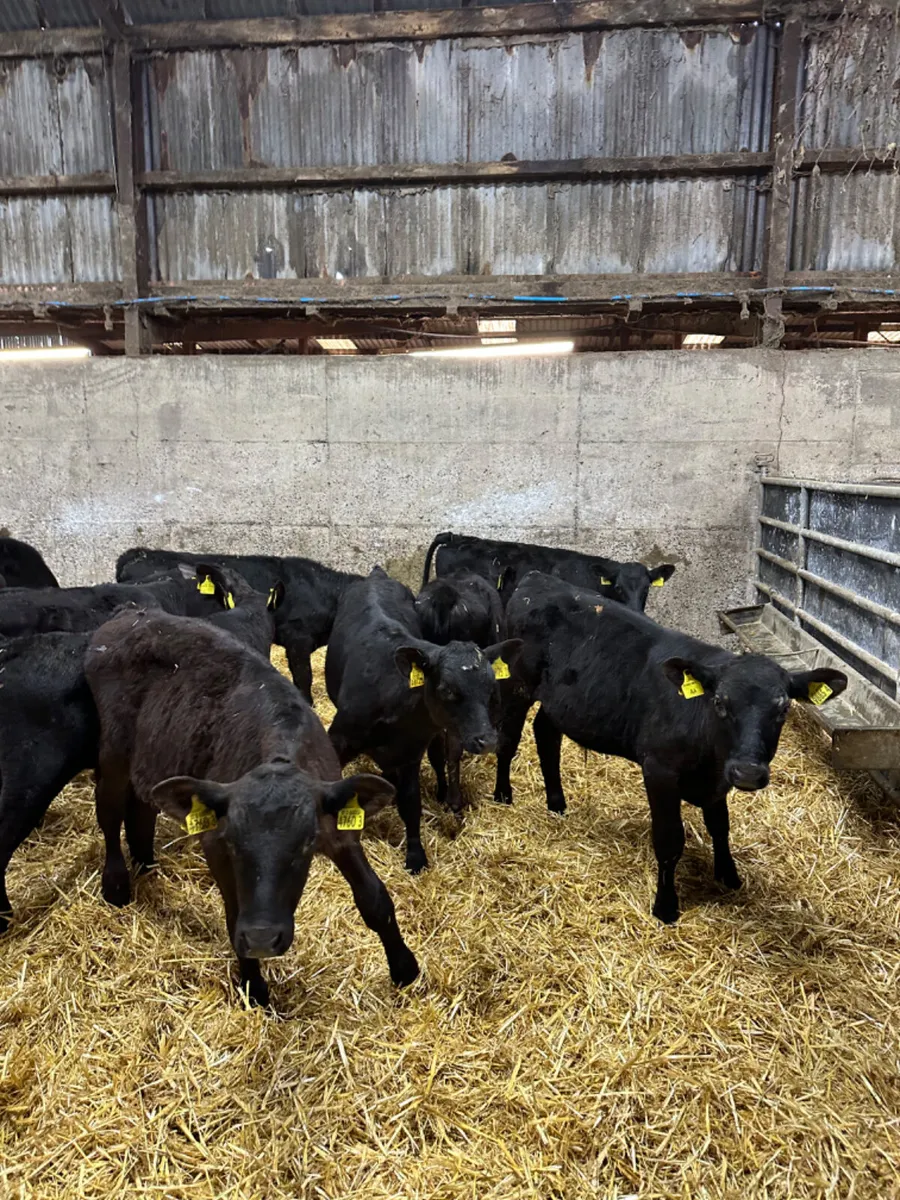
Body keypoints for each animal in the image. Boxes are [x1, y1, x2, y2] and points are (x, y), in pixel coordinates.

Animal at [85, 608, 419, 1007]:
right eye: (233, 842)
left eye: (306, 845)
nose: (262, 939)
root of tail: (132, 613)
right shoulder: (214, 842)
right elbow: (233, 915)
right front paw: (254, 988)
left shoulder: (337, 827)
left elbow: (374, 898)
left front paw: (405, 968)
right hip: (113, 752)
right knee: (108, 811)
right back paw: (116, 883)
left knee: (141, 808)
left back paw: (147, 864)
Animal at [495, 572, 848, 924]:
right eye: (720, 703)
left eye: (783, 709)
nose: (747, 772)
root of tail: (537, 578)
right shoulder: (659, 770)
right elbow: (669, 840)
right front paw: (665, 906)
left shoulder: (718, 780)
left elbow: (720, 826)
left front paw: (728, 875)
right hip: (516, 685)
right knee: (508, 739)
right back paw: (503, 795)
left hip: (558, 702)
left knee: (546, 734)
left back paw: (556, 803)